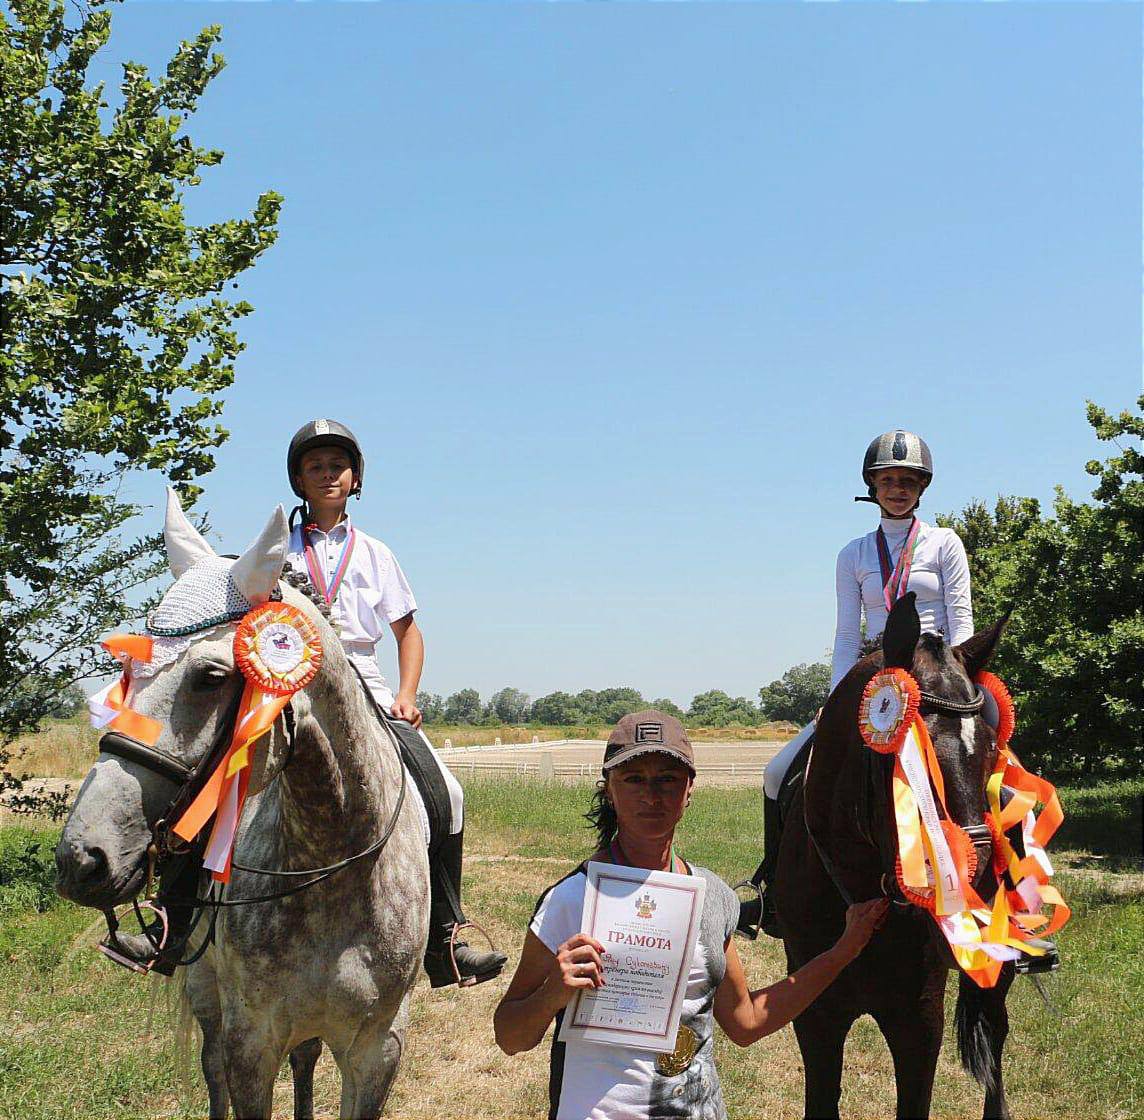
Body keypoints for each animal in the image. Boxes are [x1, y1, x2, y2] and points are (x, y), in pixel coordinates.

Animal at [55, 498, 430, 1120]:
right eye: (130, 671)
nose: (83, 859)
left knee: (305, 1058)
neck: (333, 859)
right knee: (213, 1073)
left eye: (210, 677)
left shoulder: (378, 1049)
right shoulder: (250, 1042)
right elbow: (235, 1082)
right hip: (207, 995)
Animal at [777, 599, 1020, 1120]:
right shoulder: (815, 1014)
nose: (978, 901)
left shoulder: (917, 1020)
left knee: (995, 1032)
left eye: (993, 747)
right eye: (907, 757)